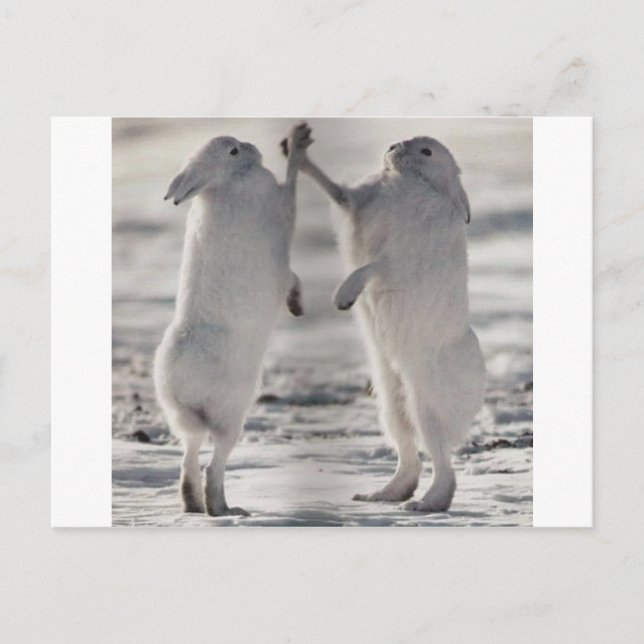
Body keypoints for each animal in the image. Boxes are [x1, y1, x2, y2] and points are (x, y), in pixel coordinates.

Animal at [154, 123, 312, 517]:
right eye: (234, 152)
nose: (253, 146)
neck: (223, 181)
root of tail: (182, 376)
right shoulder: (278, 207)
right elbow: (291, 186)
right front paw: (298, 143)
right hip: (232, 412)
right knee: (215, 463)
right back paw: (224, 509)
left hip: (183, 417)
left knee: (189, 455)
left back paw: (197, 506)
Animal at [283, 134, 486, 512]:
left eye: (426, 151)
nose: (394, 145)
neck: (413, 182)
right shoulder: (354, 203)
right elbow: (336, 190)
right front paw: (296, 150)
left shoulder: (402, 259)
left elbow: (374, 266)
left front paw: (343, 297)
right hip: (390, 402)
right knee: (408, 455)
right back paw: (382, 495)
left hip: (424, 405)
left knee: (440, 460)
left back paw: (425, 504)